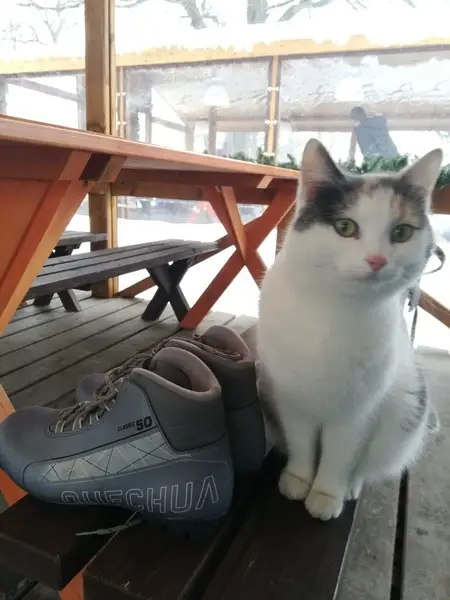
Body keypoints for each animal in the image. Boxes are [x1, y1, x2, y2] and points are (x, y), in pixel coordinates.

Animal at [257, 139, 442, 521]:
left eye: (401, 232)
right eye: (345, 227)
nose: (377, 260)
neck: (335, 310)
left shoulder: (359, 412)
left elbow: (340, 456)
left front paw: (326, 494)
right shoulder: (291, 398)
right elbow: (301, 443)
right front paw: (298, 479)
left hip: (404, 412)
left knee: (365, 466)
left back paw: (351, 487)